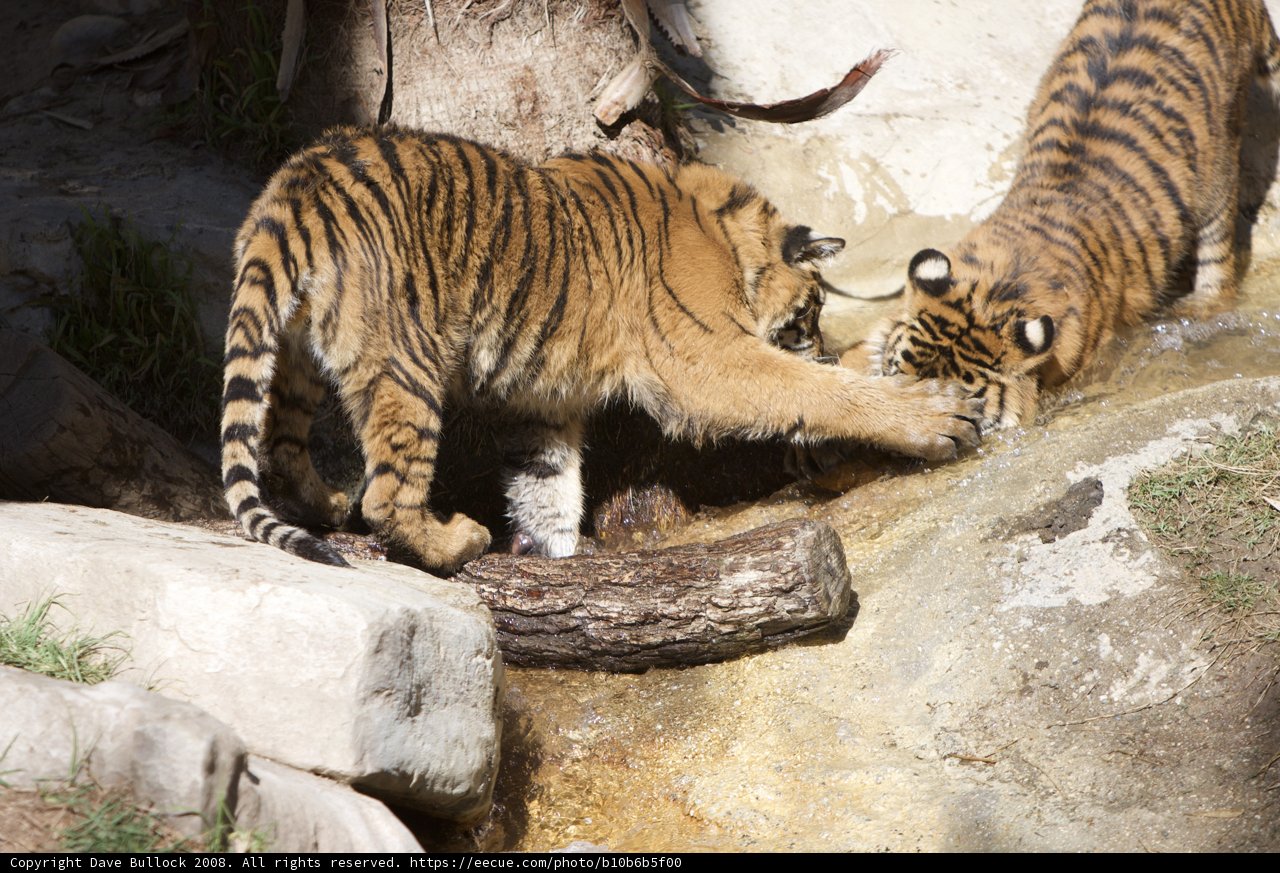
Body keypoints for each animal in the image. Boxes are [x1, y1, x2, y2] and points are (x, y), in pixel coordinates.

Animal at [220, 125, 981, 573]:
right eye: (811, 315)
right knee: (388, 493)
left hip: (292, 353)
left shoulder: (541, 402)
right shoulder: (706, 362)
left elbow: (548, 485)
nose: (821, 343)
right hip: (407, 364)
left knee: (280, 446)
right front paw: (935, 417)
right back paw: (456, 540)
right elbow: (809, 390)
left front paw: (557, 556)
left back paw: (325, 501)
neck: (726, 234)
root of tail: (300, 185)